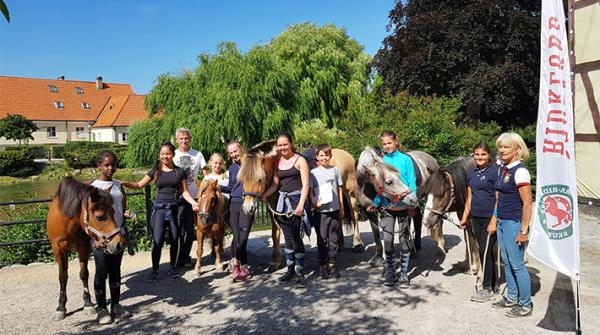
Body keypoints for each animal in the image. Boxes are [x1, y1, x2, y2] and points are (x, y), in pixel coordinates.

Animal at [46, 177, 124, 322]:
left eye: (113, 212)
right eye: (99, 216)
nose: (119, 243)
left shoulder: (83, 247)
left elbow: (84, 274)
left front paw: (88, 304)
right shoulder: (58, 249)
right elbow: (62, 277)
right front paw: (61, 307)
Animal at [238, 140, 360, 272]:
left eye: (260, 179)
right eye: (242, 180)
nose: (247, 208)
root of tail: (346, 154)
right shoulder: (273, 209)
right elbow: (275, 233)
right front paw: (275, 261)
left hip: (350, 192)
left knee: (354, 215)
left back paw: (357, 244)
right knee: (339, 215)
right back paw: (339, 245)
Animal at [420, 157, 486, 286]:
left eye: (441, 194)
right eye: (426, 194)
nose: (426, 221)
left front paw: (480, 273)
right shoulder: (465, 219)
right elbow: (470, 240)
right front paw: (469, 266)